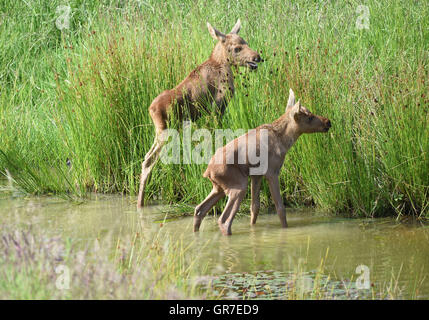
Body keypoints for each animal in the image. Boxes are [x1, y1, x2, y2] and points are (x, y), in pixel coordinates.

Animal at [137, 19, 260, 208]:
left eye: (245, 41)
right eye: (237, 48)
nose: (257, 57)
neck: (222, 65)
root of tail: (150, 109)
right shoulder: (217, 108)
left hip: (160, 132)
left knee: (145, 159)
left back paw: (140, 202)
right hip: (166, 131)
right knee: (149, 160)